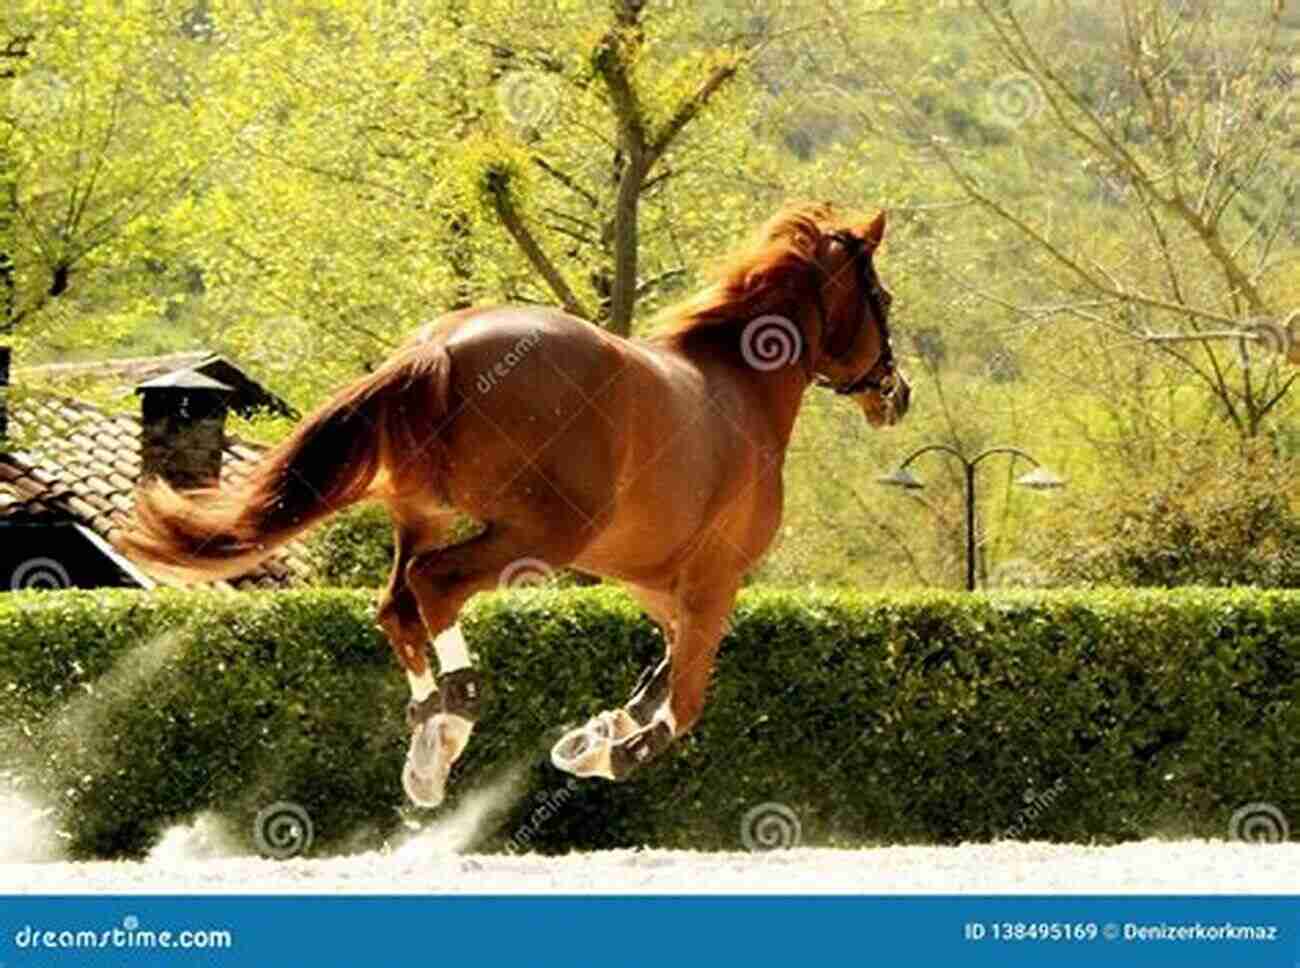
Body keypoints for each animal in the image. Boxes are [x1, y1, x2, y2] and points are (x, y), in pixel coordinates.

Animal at [119, 200, 915, 805]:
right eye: (883, 300)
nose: (897, 394)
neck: (742, 388)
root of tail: (440, 345)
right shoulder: (712, 583)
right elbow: (682, 702)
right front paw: (605, 752)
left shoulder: (660, 586)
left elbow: (657, 674)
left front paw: (594, 732)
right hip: (534, 537)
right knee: (434, 586)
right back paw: (455, 719)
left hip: (428, 514)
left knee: (397, 605)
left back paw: (429, 740)